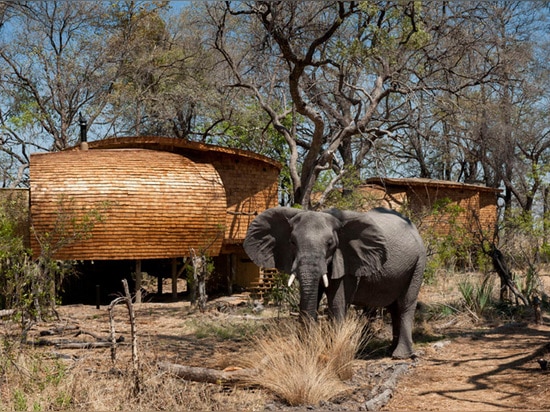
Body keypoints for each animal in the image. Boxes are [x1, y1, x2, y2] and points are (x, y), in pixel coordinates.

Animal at [244, 206, 430, 358]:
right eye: (292, 242)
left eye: (330, 243)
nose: (310, 346)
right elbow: (311, 298)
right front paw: (307, 349)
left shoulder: (347, 259)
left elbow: (337, 301)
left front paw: (332, 351)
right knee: (393, 307)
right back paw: (390, 350)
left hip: (418, 262)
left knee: (405, 304)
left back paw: (400, 356)